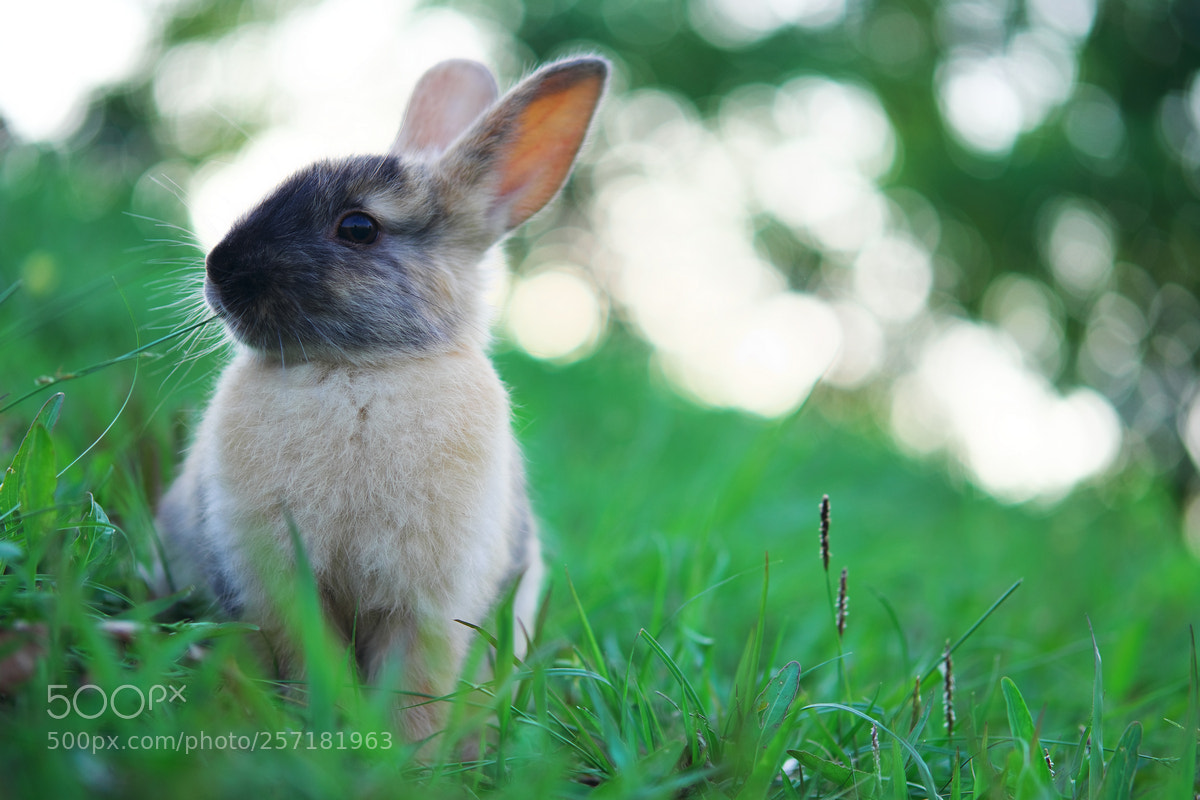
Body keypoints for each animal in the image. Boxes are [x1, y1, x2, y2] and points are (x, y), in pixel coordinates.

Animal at [154, 56, 609, 742]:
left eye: (358, 228)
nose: (218, 269)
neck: (358, 370)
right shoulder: (280, 585)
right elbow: (310, 658)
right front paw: (323, 731)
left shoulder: (426, 606)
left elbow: (417, 686)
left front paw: (404, 751)